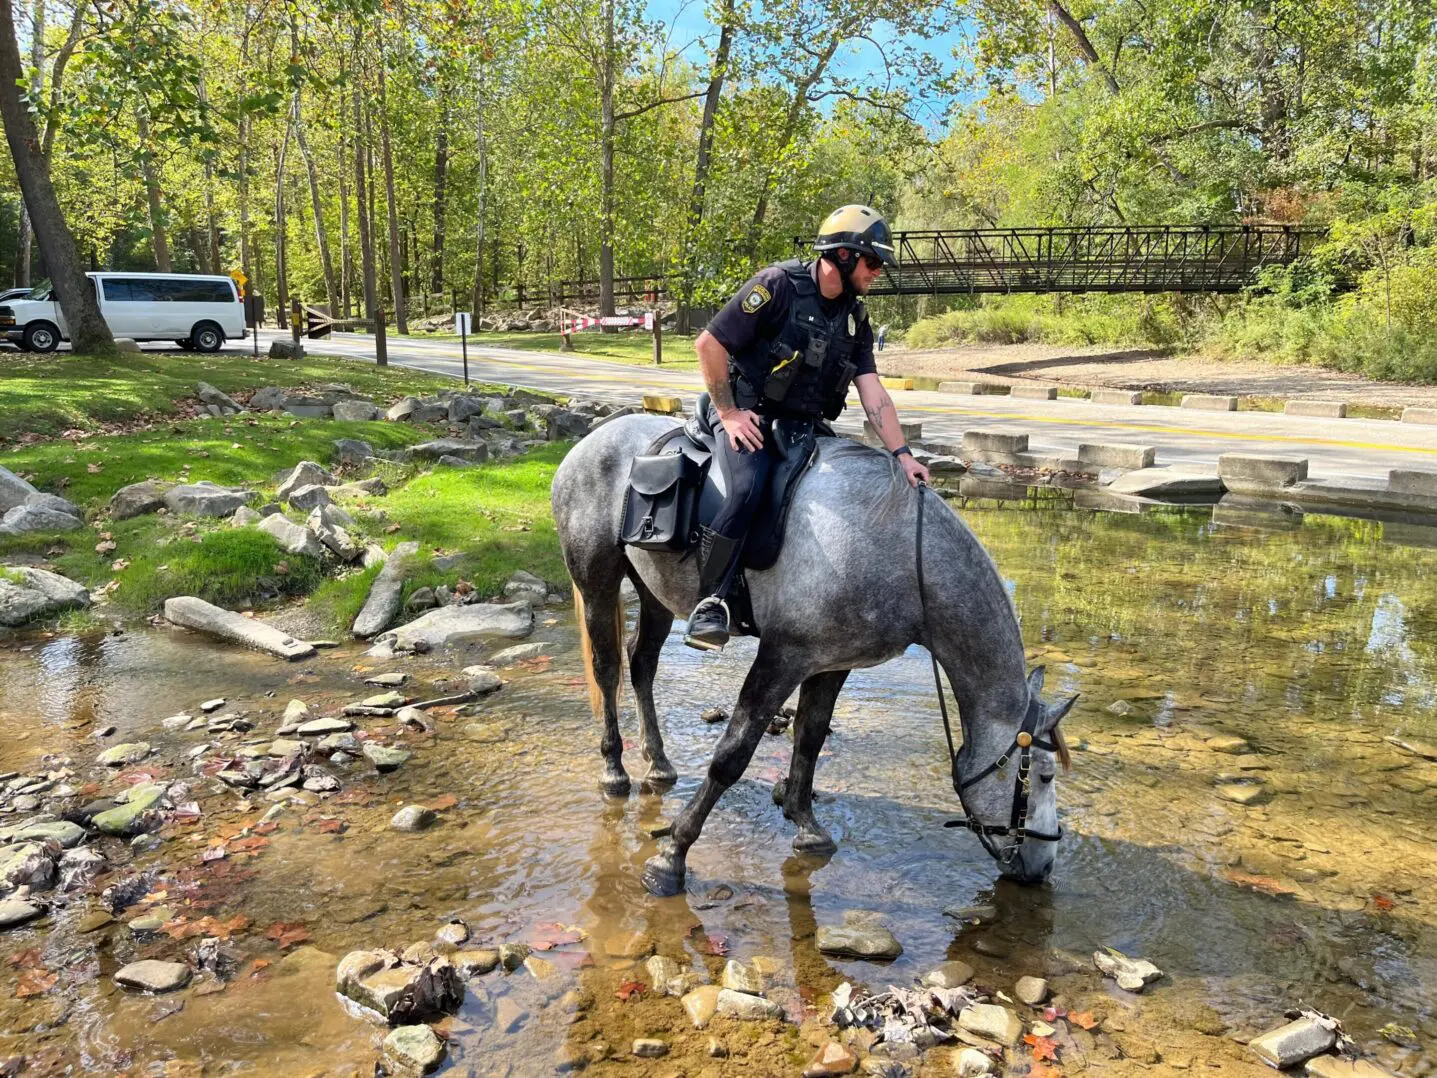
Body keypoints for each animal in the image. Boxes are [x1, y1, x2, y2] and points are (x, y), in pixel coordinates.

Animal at [550, 412, 1077, 896]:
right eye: (1043, 776)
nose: (1045, 866)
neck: (905, 557)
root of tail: (591, 442)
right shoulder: (782, 657)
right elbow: (732, 755)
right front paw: (672, 856)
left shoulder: (830, 663)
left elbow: (810, 738)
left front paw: (806, 826)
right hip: (597, 583)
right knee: (608, 670)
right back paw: (614, 770)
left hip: (654, 591)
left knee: (642, 665)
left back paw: (658, 763)